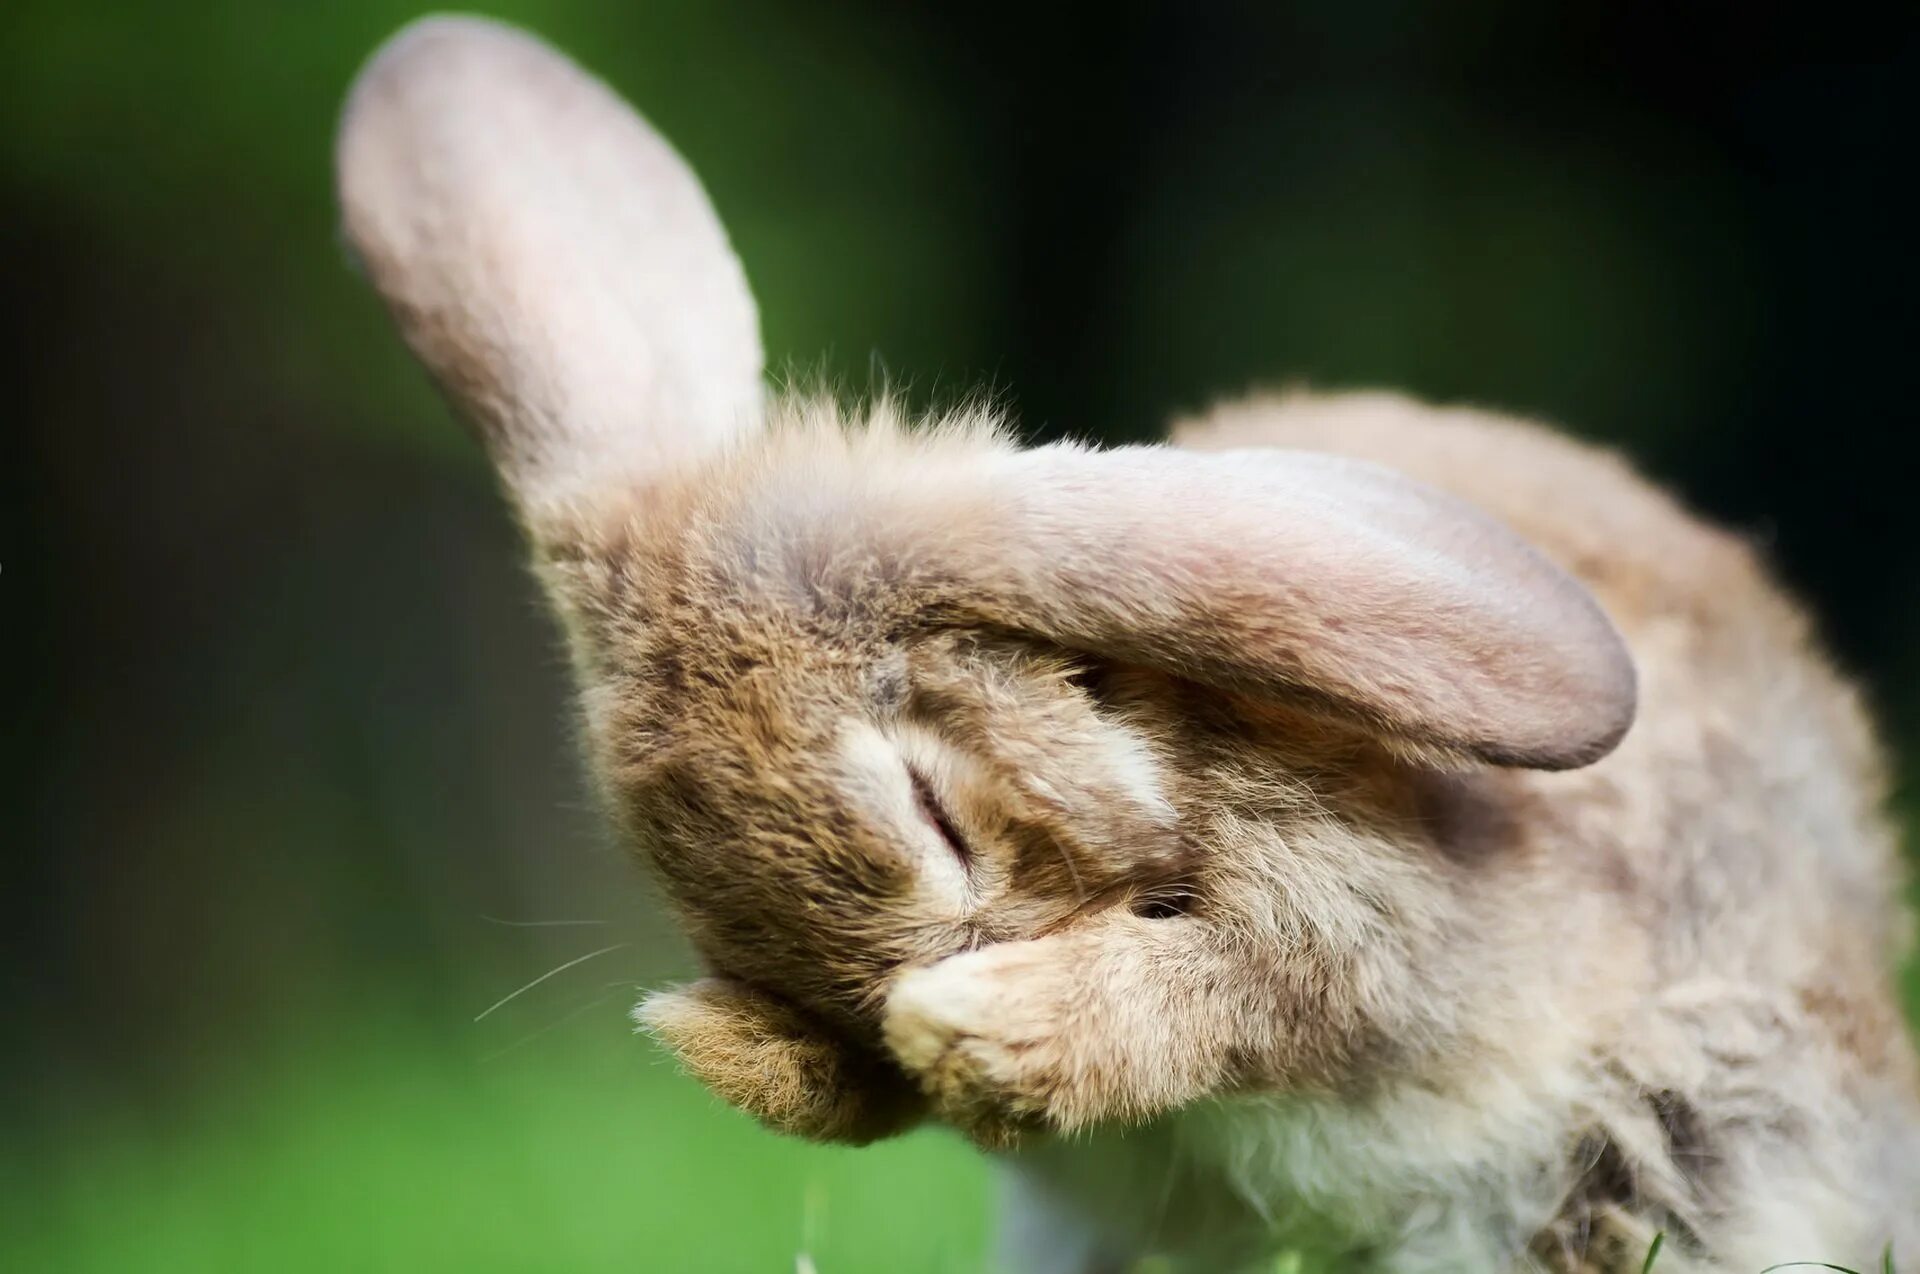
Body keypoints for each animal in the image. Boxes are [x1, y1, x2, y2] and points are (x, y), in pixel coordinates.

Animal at [337, 12, 1912, 1274]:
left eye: (931, 808)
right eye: (687, 888)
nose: (878, 1016)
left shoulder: (1371, 924)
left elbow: (1247, 990)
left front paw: (964, 1028)